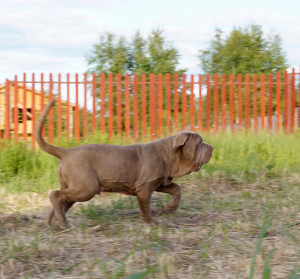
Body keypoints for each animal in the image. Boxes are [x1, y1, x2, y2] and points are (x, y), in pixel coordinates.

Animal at [35, 100, 213, 230]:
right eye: (199, 142)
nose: (211, 147)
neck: (169, 154)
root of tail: (66, 152)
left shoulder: (160, 182)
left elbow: (177, 189)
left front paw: (170, 208)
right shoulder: (144, 187)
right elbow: (146, 206)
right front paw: (151, 223)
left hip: (75, 186)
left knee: (61, 201)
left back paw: (56, 223)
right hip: (86, 186)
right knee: (55, 195)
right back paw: (64, 224)